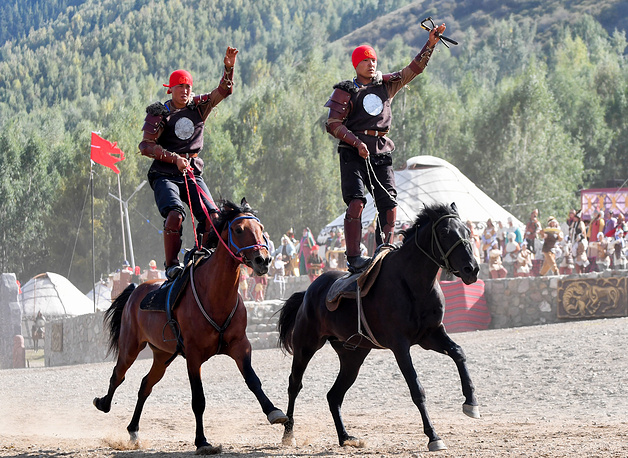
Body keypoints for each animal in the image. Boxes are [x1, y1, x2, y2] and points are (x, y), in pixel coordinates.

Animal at [93, 199, 288, 452]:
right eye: (238, 230)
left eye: (261, 228)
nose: (263, 260)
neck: (215, 295)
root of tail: (136, 289)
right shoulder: (194, 356)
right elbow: (198, 399)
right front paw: (202, 441)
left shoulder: (240, 345)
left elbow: (253, 381)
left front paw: (274, 411)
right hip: (130, 346)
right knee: (118, 374)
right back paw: (103, 403)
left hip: (163, 355)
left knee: (146, 384)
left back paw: (133, 429)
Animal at [278, 203, 480, 450]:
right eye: (444, 232)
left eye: (467, 231)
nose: (472, 269)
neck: (412, 283)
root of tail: (308, 291)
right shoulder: (400, 346)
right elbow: (417, 389)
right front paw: (433, 436)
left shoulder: (431, 335)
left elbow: (458, 353)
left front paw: (471, 402)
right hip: (305, 346)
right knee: (294, 384)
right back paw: (288, 433)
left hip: (352, 357)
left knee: (334, 395)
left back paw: (345, 437)